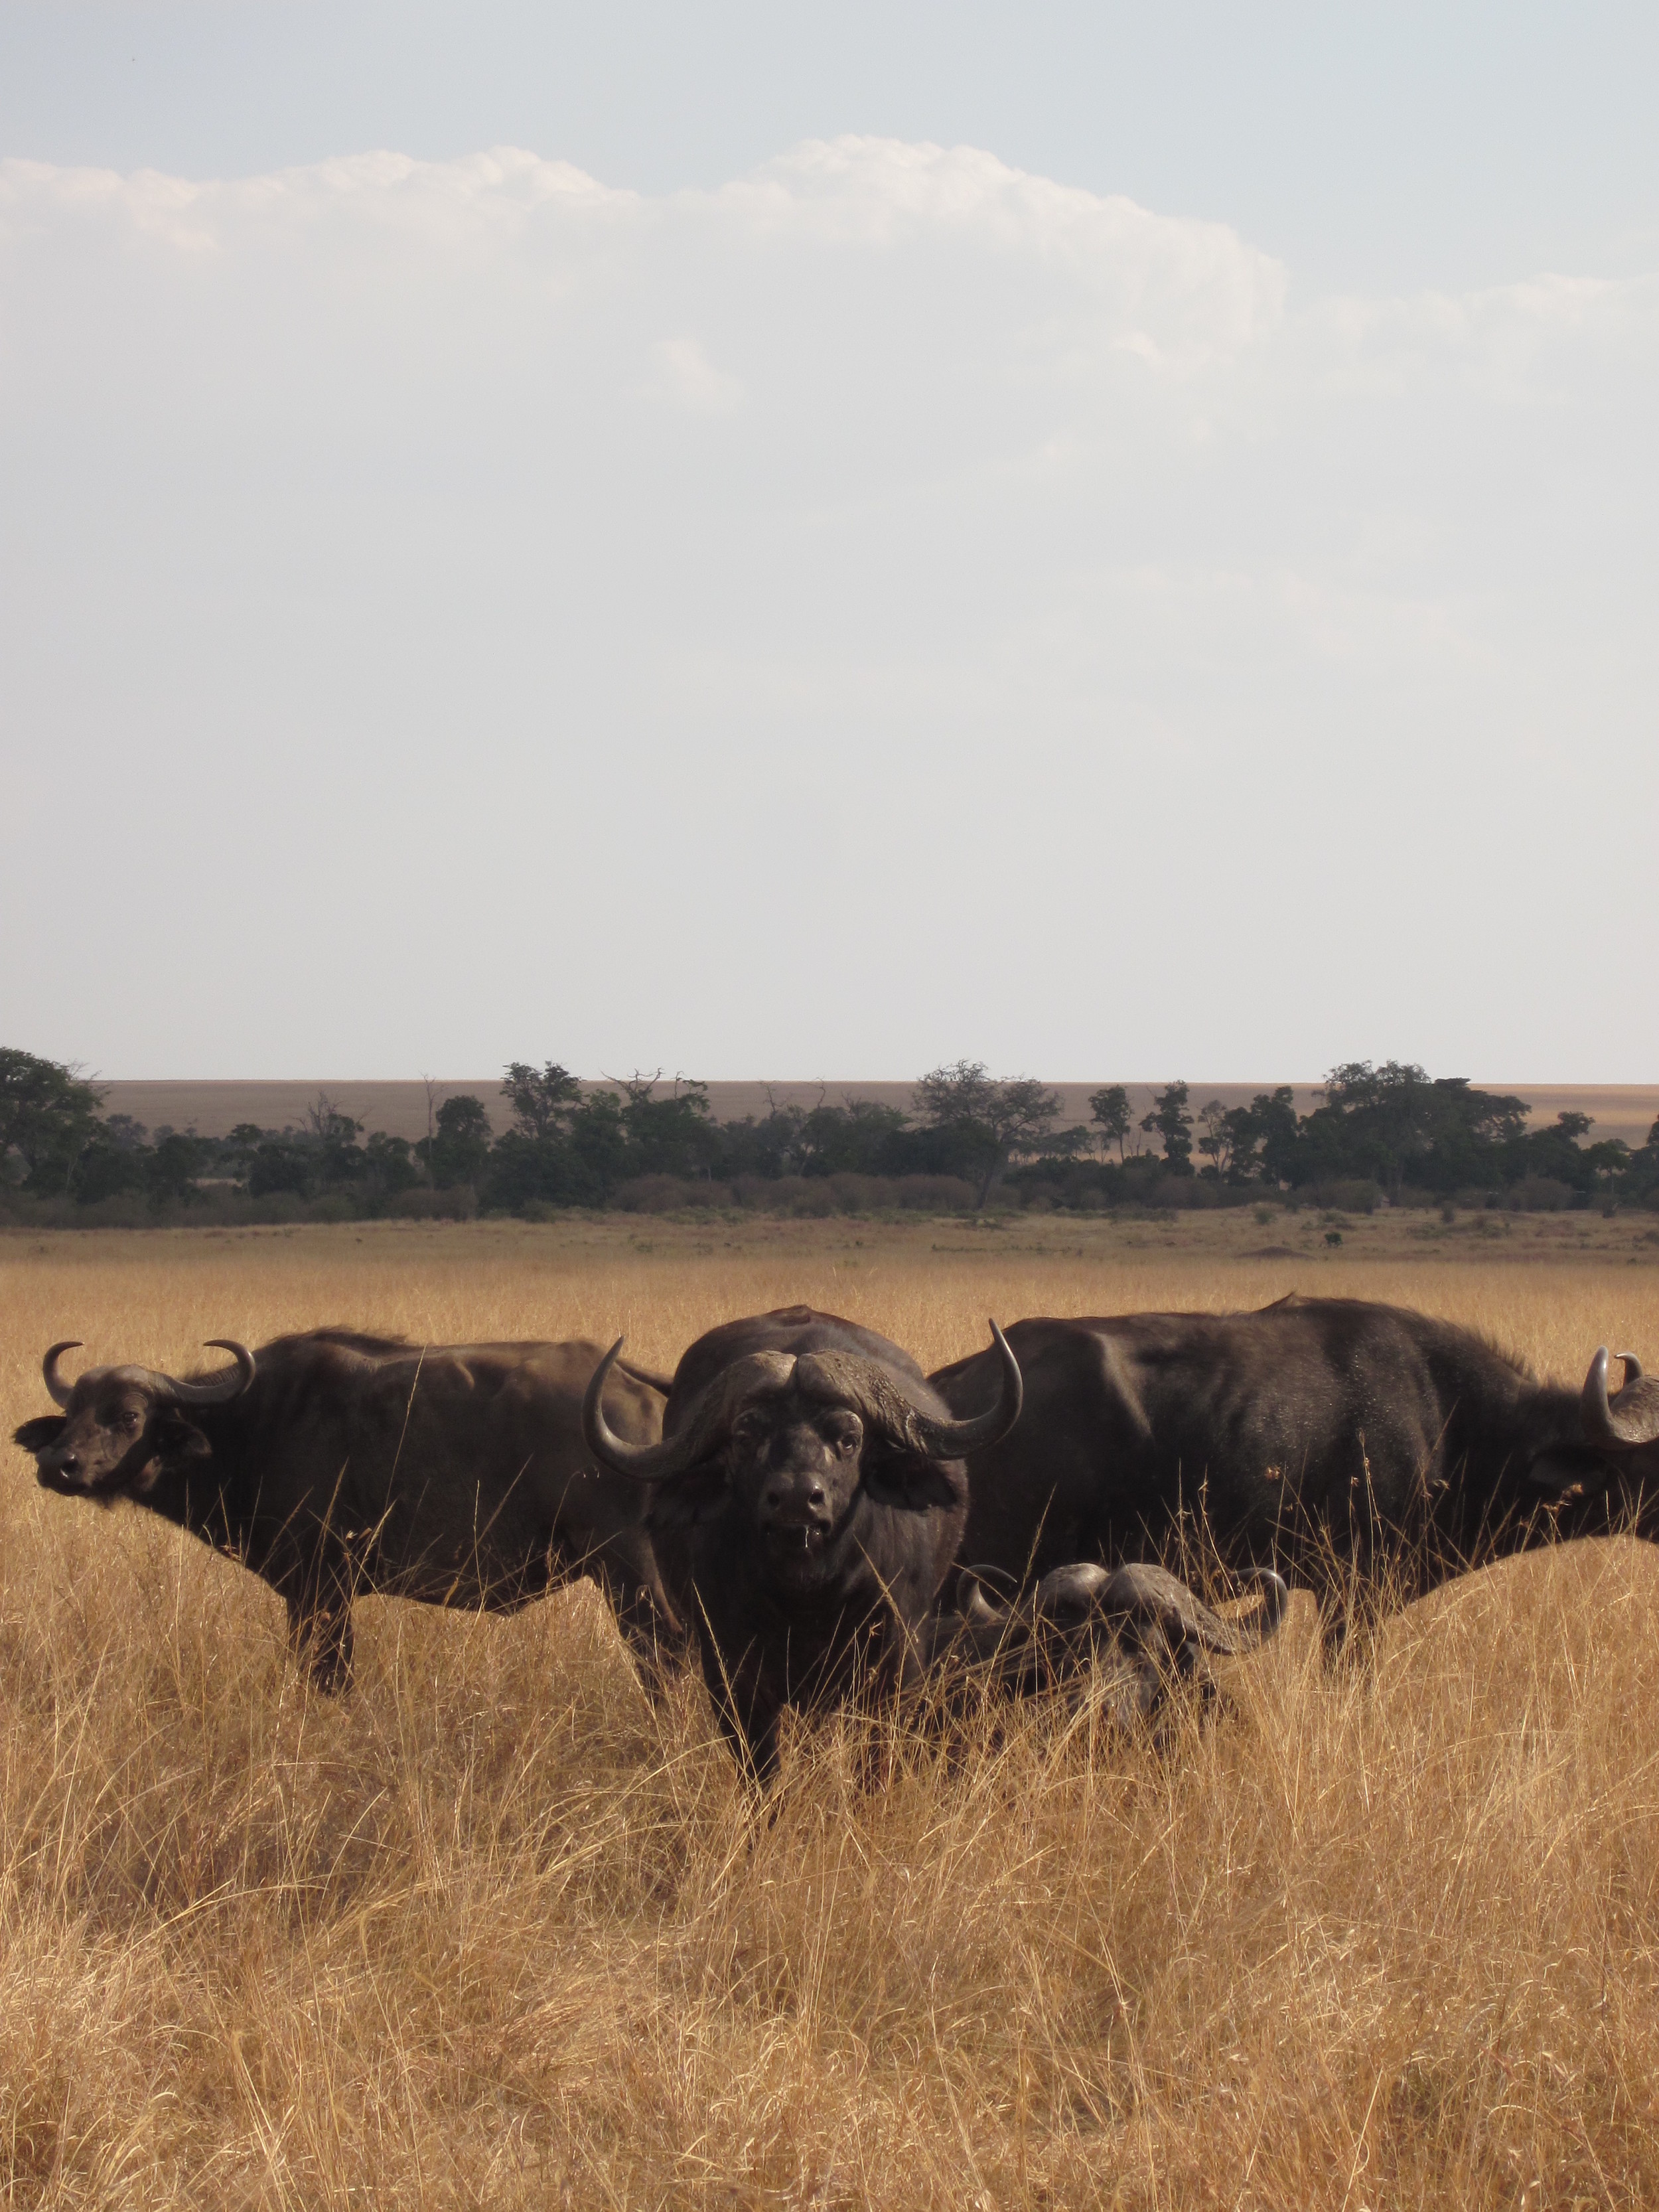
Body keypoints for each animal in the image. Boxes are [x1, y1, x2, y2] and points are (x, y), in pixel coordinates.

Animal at [15, 1327, 690, 1690]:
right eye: (73, 1413)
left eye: (128, 1416)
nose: (57, 1464)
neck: (254, 1426)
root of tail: (635, 1388)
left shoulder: (323, 1589)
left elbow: (328, 1676)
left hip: (628, 1571)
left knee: (668, 1655)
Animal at [584, 1300, 1026, 1787]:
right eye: (745, 1438)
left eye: (849, 1439)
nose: (797, 1499)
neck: (809, 1596)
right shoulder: (730, 1672)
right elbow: (762, 1771)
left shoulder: (897, 1663)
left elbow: (875, 1761)